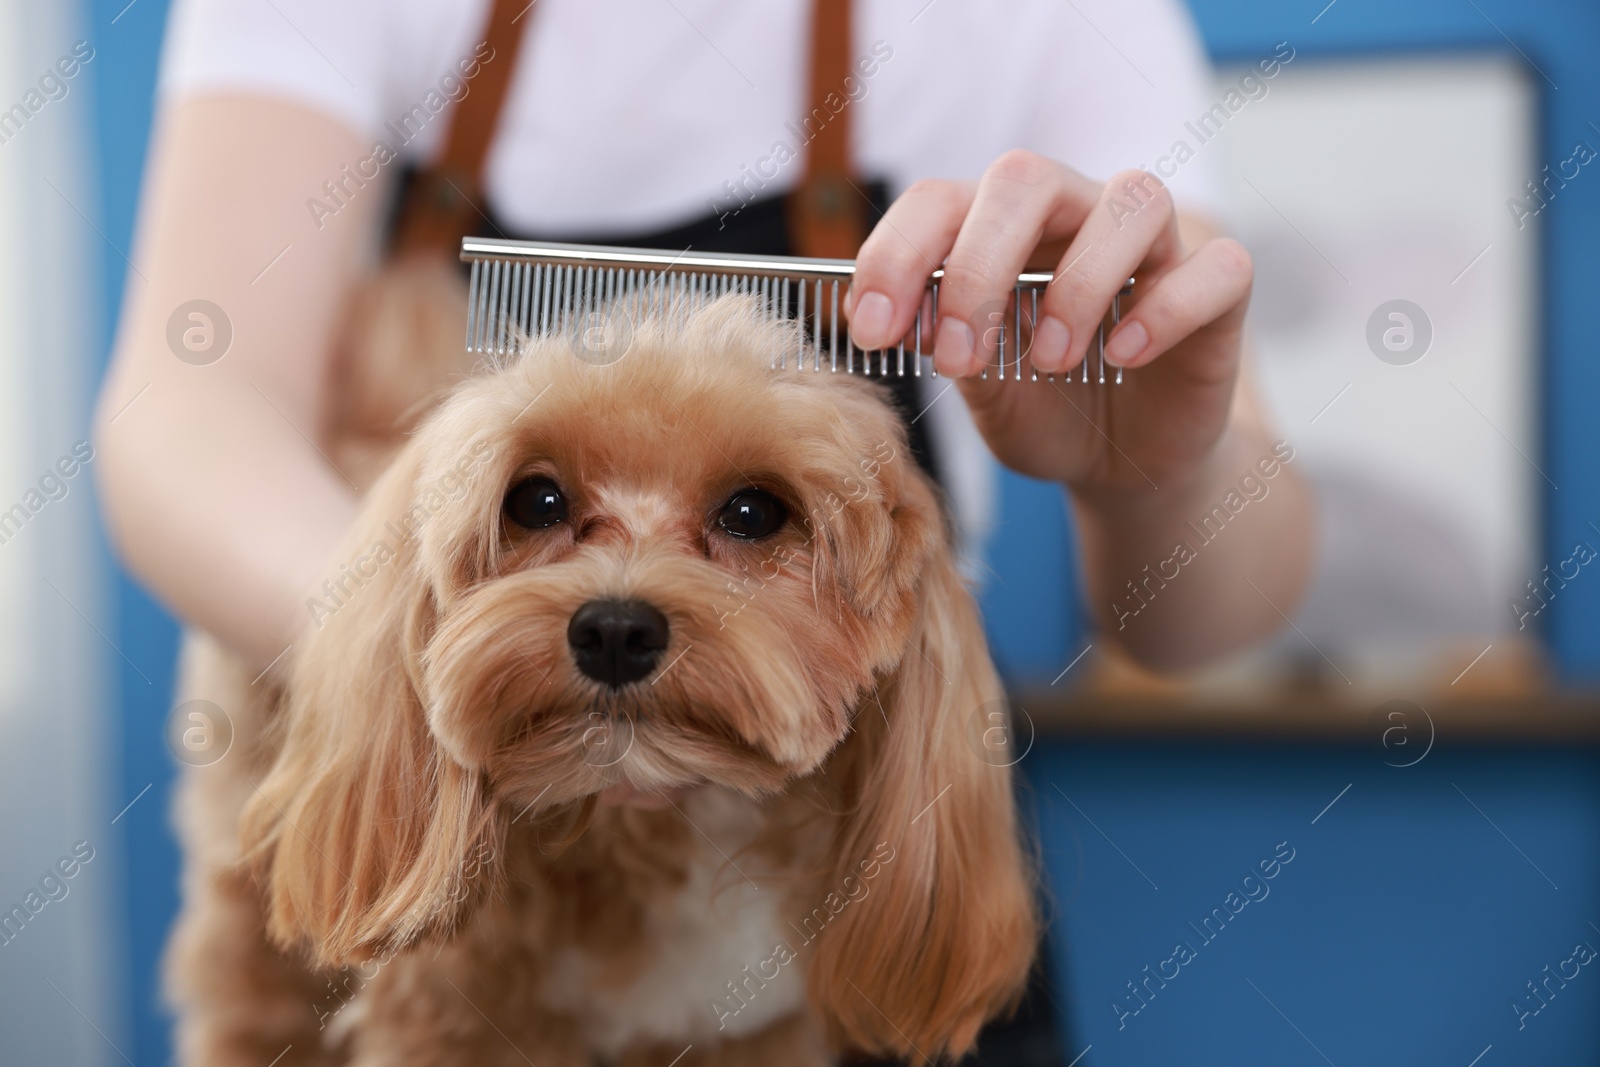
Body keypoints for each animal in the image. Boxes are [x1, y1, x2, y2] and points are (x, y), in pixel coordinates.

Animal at [165, 295, 1036, 1067]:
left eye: (754, 512)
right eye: (535, 499)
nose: (616, 630)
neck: (664, 838)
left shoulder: (742, 1028)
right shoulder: (459, 1020)